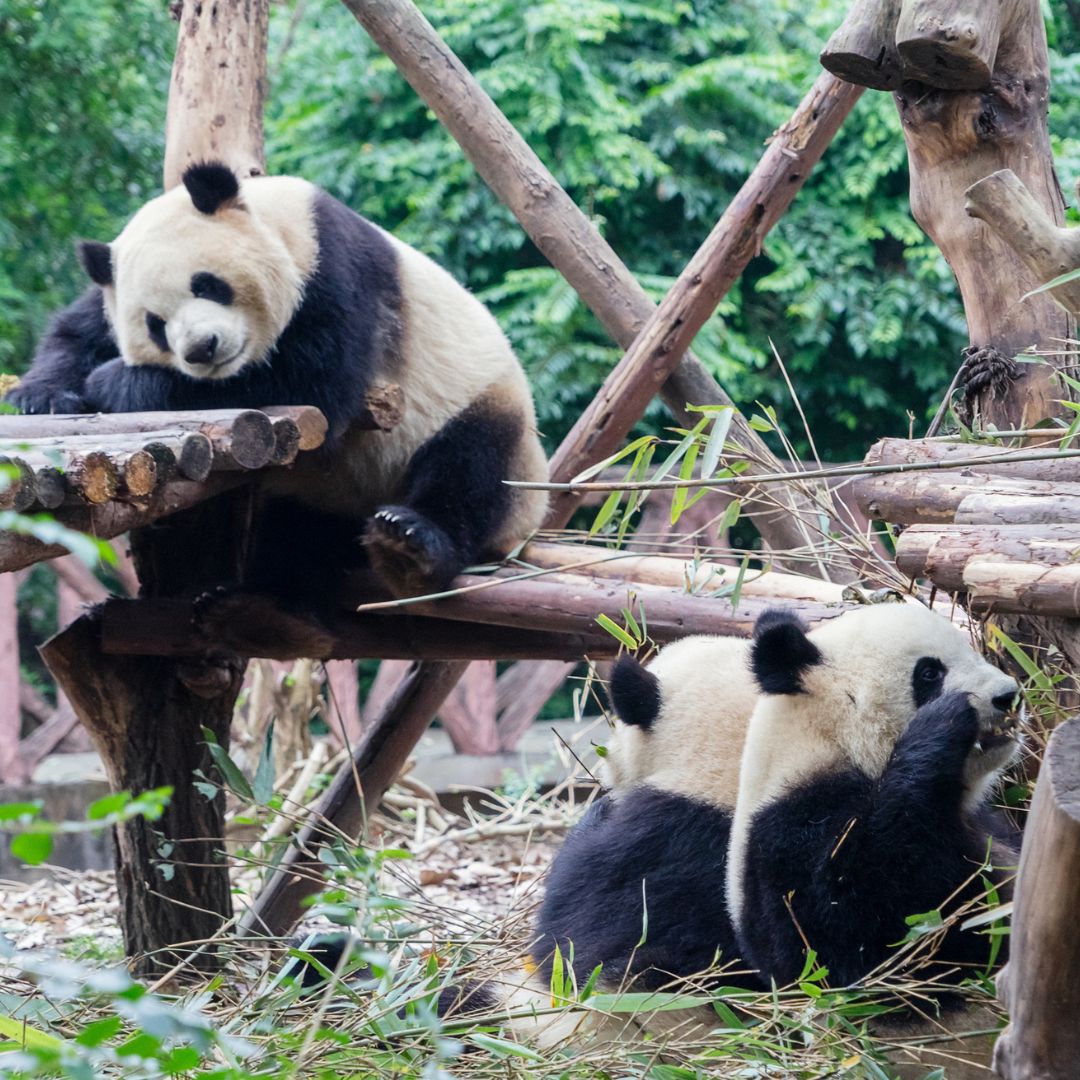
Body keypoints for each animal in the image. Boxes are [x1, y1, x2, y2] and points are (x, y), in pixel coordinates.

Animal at [7, 162, 548, 600]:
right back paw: (253, 581)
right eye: (155, 324)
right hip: (318, 493)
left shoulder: (337, 273)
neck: (284, 221)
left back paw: (410, 545)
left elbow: (311, 384)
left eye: (207, 284)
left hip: (483, 408)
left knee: (475, 468)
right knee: (297, 529)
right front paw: (40, 395)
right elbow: (80, 329)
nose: (201, 349)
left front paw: (117, 382)